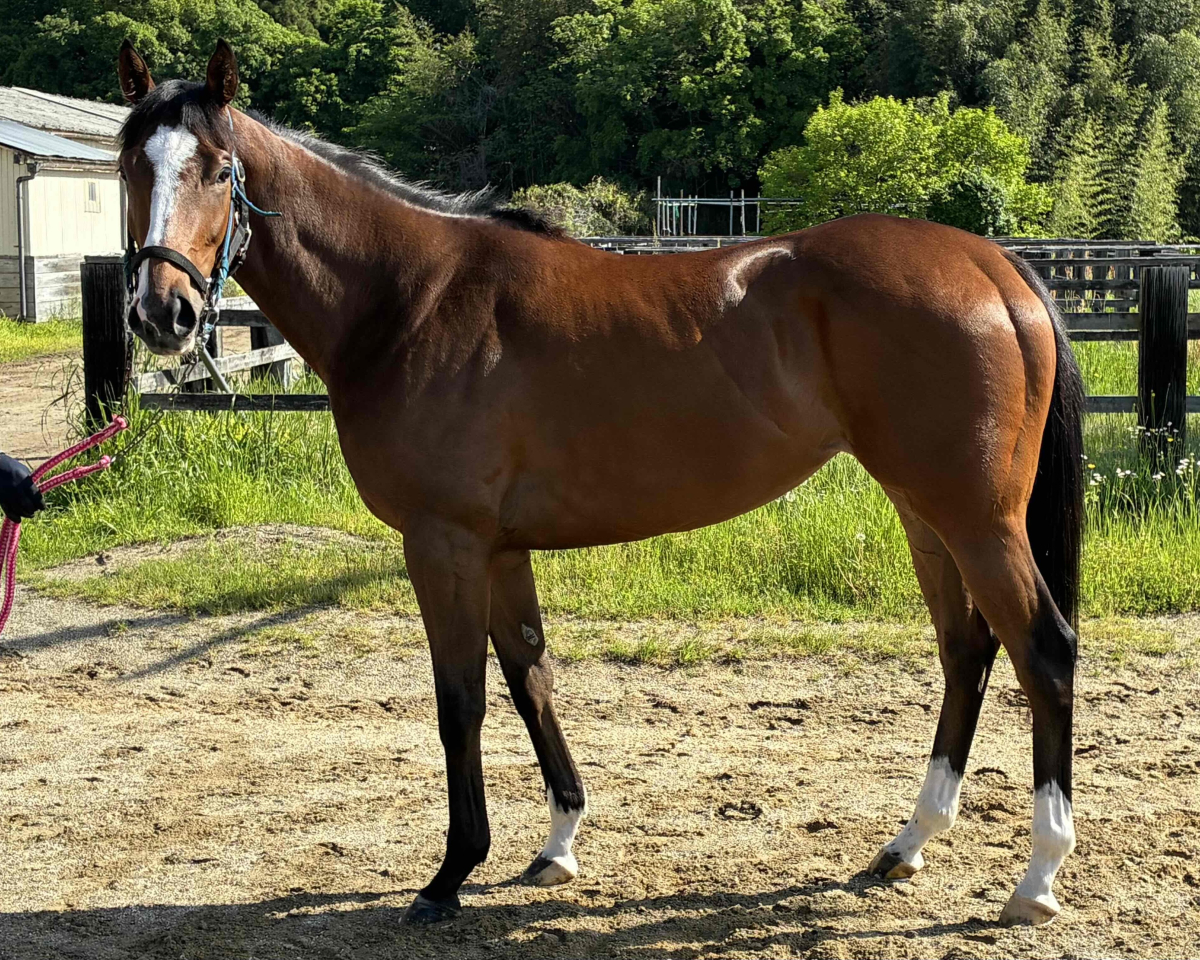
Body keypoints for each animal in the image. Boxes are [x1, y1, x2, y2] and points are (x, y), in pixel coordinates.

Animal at [114, 39, 1084, 928]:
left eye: (218, 169)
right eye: (130, 166)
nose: (164, 314)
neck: (411, 299)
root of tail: (991, 264)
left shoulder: (443, 542)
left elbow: (459, 700)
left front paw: (450, 876)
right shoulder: (499, 549)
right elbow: (529, 676)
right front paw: (558, 843)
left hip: (977, 518)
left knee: (1042, 651)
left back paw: (1036, 879)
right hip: (927, 512)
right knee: (966, 651)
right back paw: (909, 844)